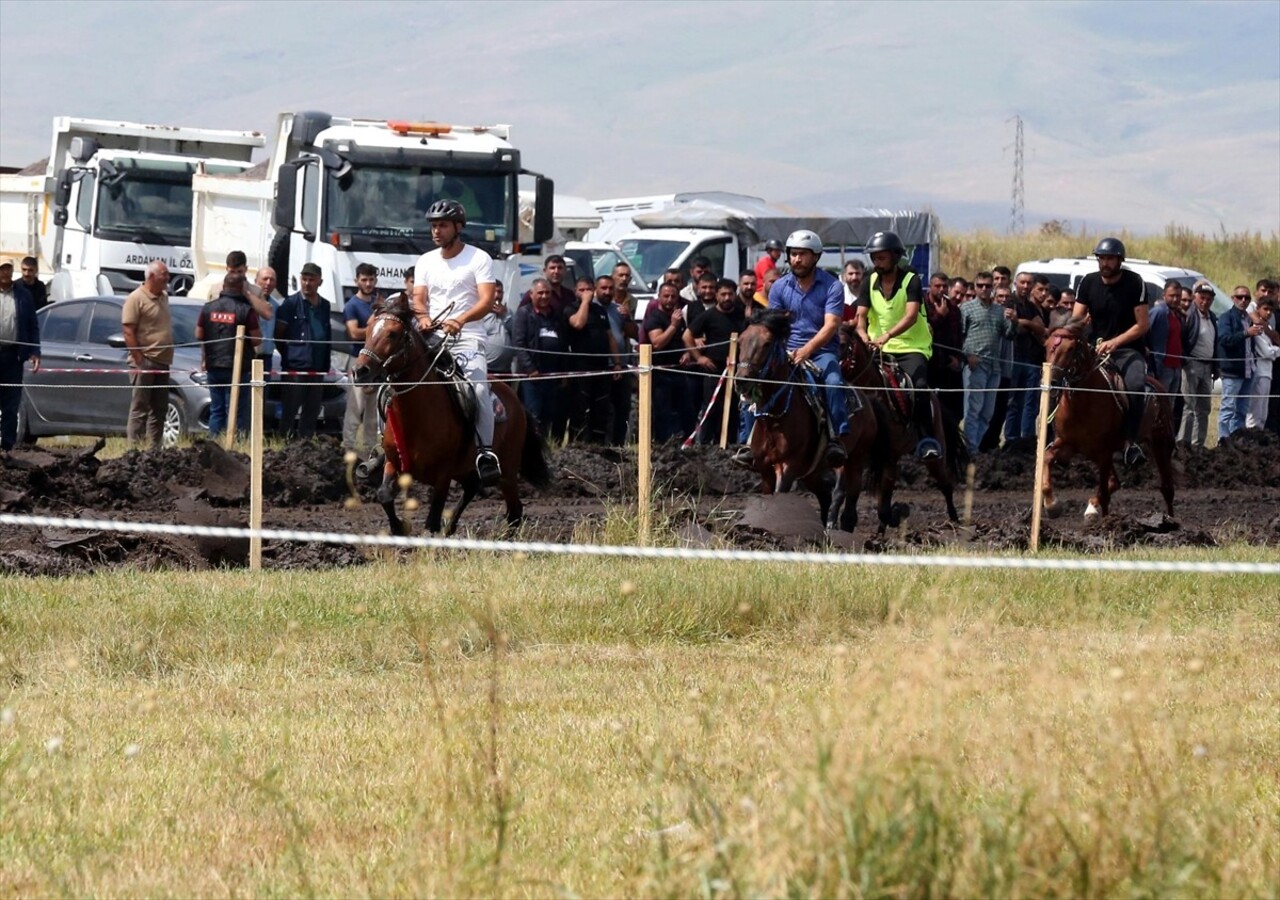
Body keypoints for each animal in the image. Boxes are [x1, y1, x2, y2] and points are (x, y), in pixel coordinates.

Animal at [353, 297, 547, 535]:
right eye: (368, 329)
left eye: (393, 333)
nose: (360, 371)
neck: (415, 417)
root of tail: (515, 398)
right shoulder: (393, 462)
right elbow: (384, 495)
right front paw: (399, 527)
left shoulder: (443, 476)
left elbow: (432, 520)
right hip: (466, 468)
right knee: (473, 487)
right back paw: (451, 526)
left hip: (508, 471)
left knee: (514, 511)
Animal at [732, 311, 880, 532]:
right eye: (741, 341)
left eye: (767, 343)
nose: (742, 381)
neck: (774, 418)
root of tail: (865, 399)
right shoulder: (765, 469)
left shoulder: (788, 466)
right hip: (812, 472)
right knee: (825, 497)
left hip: (854, 460)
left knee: (849, 505)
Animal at [839, 327, 962, 532]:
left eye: (841, 344)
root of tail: (933, 396)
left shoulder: (889, 456)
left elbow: (883, 505)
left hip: (935, 457)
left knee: (946, 485)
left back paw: (955, 521)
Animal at [1044, 323, 1172, 522]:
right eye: (1047, 346)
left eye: (1070, 349)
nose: (1053, 381)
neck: (1083, 401)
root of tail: (1157, 386)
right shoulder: (1067, 444)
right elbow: (1047, 459)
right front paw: (1052, 506)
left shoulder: (1103, 451)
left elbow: (1104, 493)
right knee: (1115, 482)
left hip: (1161, 444)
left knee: (1167, 488)